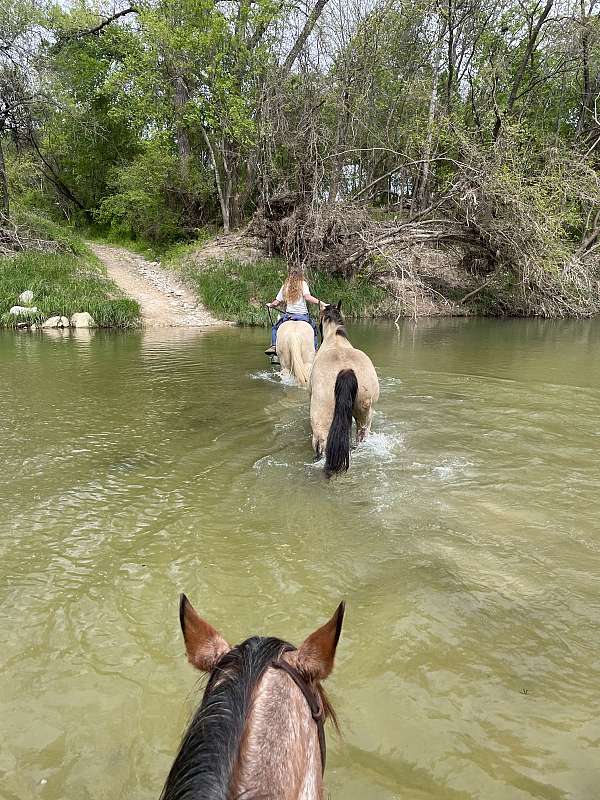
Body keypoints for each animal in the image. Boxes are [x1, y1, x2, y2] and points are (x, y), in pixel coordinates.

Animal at [309, 302, 379, 477]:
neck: (335, 339)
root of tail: (346, 370)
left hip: (321, 419)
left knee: (321, 443)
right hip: (364, 414)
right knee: (361, 435)